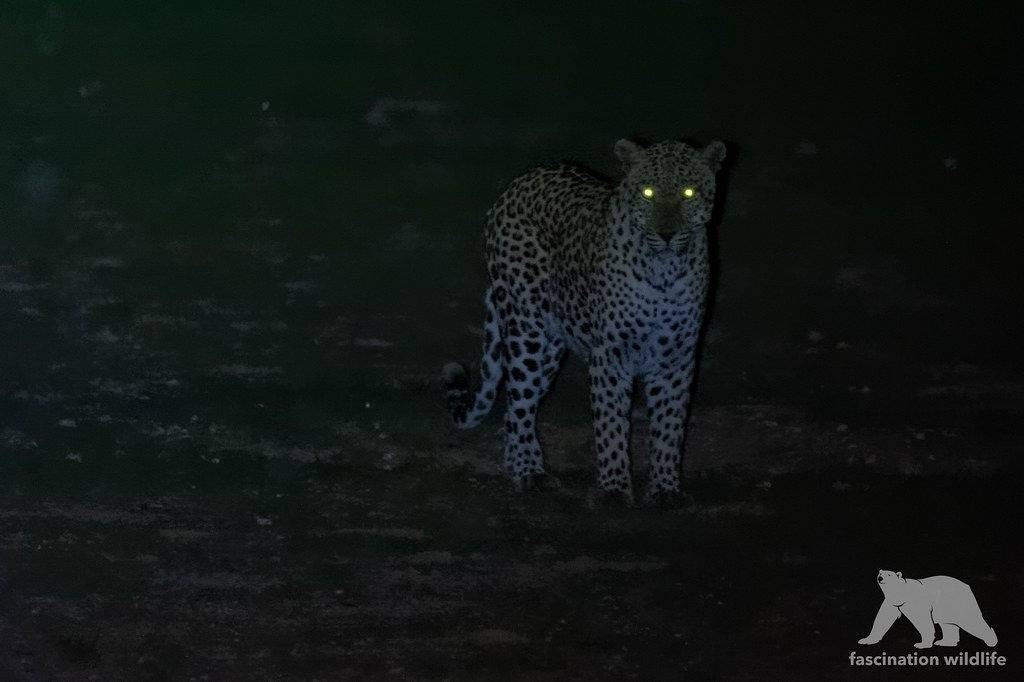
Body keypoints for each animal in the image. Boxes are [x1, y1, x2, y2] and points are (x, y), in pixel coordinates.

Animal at [442, 138, 729, 501]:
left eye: (689, 192)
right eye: (648, 192)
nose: (666, 233)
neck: (663, 270)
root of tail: (521, 180)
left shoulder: (676, 356)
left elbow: (669, 427)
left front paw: (665, 490)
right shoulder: (609, 354)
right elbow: (610, 424)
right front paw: (614, 490)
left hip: (552, 346)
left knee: (513, 408)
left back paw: (521, 462)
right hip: (526, 330)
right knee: (519, 402)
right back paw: (528, 471)